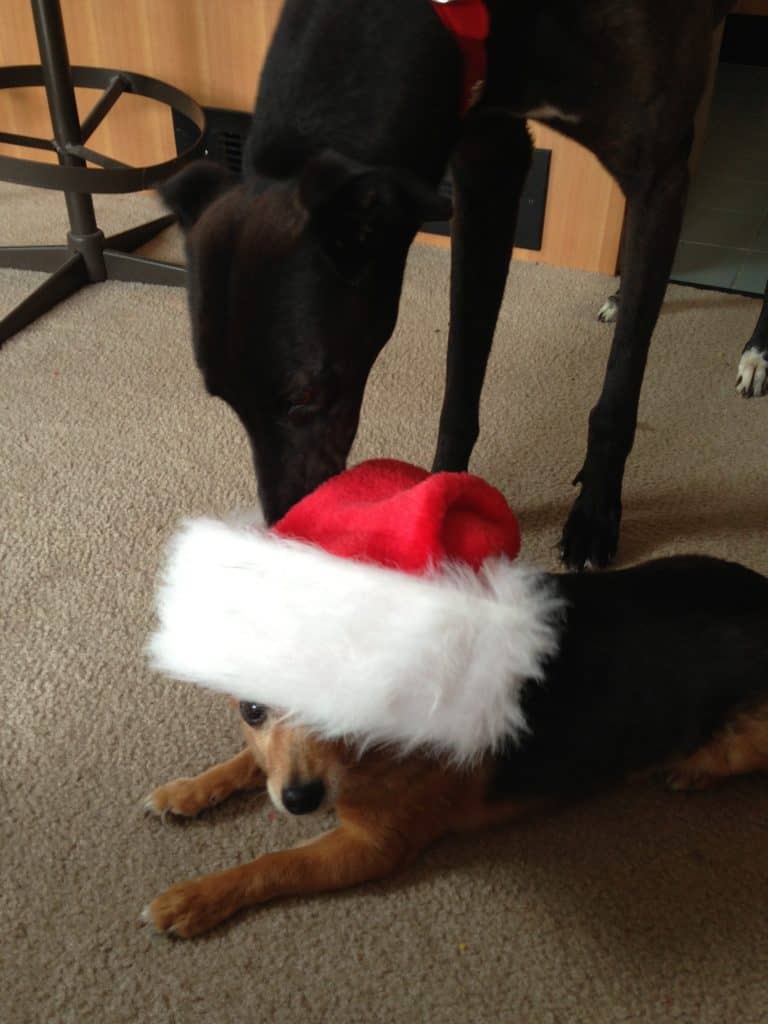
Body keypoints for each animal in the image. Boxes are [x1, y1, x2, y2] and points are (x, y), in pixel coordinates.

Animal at [160, 0, 765, 569]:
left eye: (304, 395)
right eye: (223, 397)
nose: (285, 528)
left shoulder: (658, 176)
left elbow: (620, 388)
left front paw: (595, 514)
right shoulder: (486, 165)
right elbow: (462, 375)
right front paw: (442, 492)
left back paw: (756, 351)